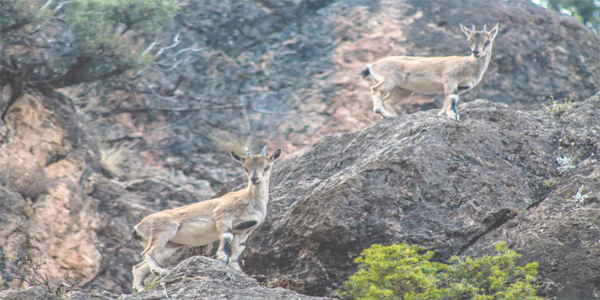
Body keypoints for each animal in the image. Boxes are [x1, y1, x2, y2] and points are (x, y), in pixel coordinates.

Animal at [131, 146, 282, 292]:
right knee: (147, 253)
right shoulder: (223, 215)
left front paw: (238, 270)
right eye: (245, 167)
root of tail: (138, 228)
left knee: (139, 266)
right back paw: (160, 270)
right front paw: (222, 257)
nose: (255, 179)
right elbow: (226, 236)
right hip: (163, 231)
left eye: (267, 166)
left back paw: (141, 288)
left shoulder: (244, 230)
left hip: (168, 246)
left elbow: (238, 249)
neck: (250, 200)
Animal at [364, 23, 500, 119]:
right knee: (376, 89)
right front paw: (452, 116)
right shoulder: (450, 79)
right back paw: (383, 113)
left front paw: (441, 114)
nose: (476, 52)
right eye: (469, 40)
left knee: (388, 100)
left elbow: (447, 100)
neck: (468, 64)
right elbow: (452, 97)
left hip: (402, 90)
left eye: (487, 41)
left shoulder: (461, 87)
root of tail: (372, 66)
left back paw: (392, 116)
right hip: (391, 78)